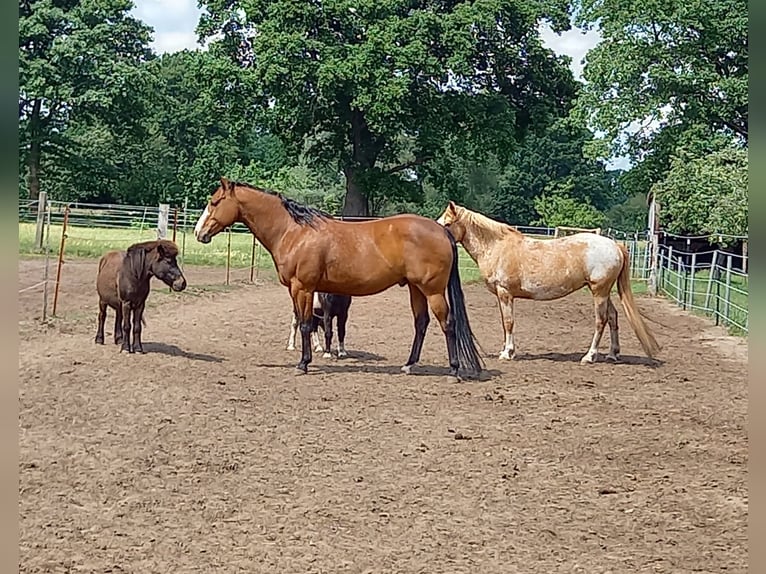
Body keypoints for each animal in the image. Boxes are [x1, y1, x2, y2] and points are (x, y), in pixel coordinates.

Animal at [193, 177, 484, 381]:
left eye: (215, 202)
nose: (198, 233)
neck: (294, 232)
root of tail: (443, 231)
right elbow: (307, 325)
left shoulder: (303, 288)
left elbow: (306, 325)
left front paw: (303, 364)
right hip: (415, 288)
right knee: (421, 323)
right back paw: (409, 365)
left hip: (432, 290)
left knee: (448, 323)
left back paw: (454, 371)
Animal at [436, 201, 660, 363]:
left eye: (447, 224)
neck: (497, 247)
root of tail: (615, 245)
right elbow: (505, 322)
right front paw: (506, 350)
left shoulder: (505, 293)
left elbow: (508, 322)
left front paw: (507, 353)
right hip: (603, 292)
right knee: (613, 317)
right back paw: (613, 354)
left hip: (599, 292)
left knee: (601, 320)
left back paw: (589, 356)